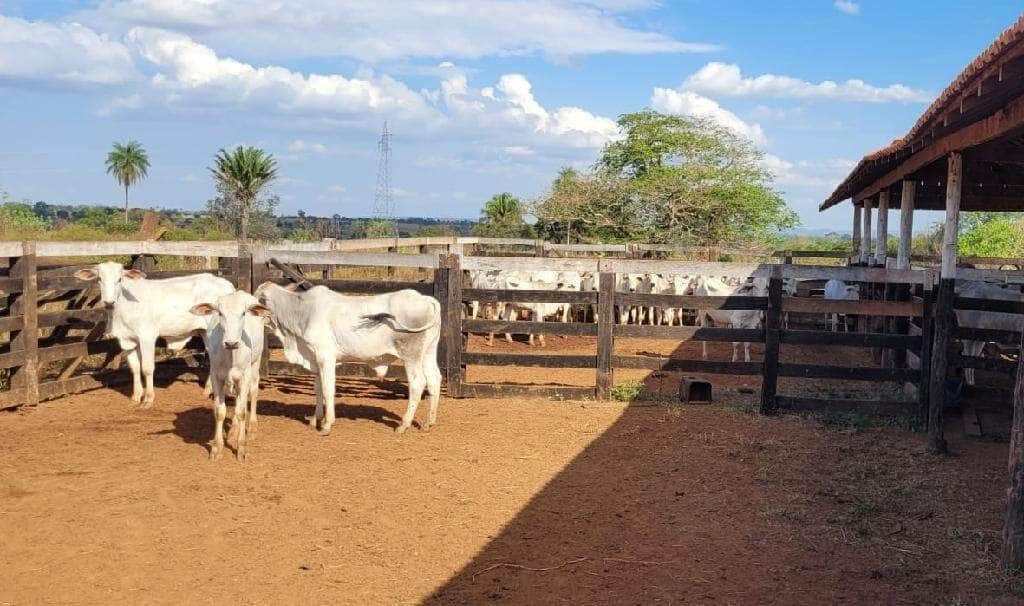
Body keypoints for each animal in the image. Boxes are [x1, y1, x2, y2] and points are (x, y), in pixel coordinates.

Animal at [76, 260, 235, 407]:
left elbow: (146, 368)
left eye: (119, 279)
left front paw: (148, 398)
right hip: (206, 333)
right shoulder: (128, 340)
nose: (109, 302)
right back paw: (208, 390)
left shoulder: (147, 336)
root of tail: (227, 285)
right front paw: (136, 396)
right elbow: (135, 368)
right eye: (99, 279)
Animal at [188, 290, 268, 460]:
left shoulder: (244, 376)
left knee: (252, 393)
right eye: (220, 313)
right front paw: (216, 448)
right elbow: (220, 412)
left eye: (243, 313)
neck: (231, 356)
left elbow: (241, 411)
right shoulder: (216, 376)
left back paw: (252, 427)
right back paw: (232, 431)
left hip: (255, 364)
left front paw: (241, 449)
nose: (231, 343)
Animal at [253, 282, 442, 434]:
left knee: (418, 383)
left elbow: (328, 389)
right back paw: (429, 423)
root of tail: (425, 299)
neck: (302, 312)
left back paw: (404, 424)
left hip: (411, 355)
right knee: (434, 380)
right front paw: (316, 419)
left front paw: (327, 424)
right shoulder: (315, 360)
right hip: (428, 352)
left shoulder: (326, 357)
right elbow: (318, 388)